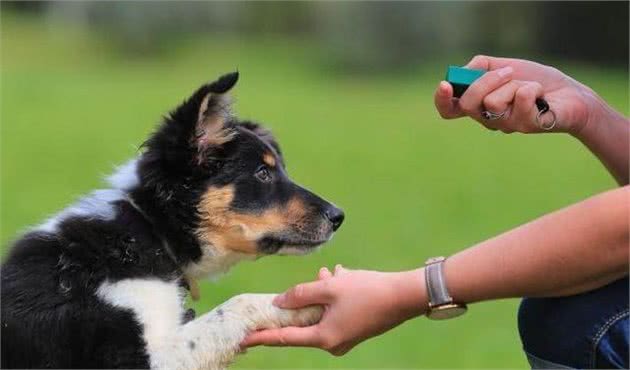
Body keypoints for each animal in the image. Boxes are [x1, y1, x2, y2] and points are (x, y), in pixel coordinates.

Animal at [0, 73, 346, 370]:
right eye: (262, 173)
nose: (338, 216)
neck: (146, 231)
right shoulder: (133, 357)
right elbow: (238, 303)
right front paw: (309, 303)